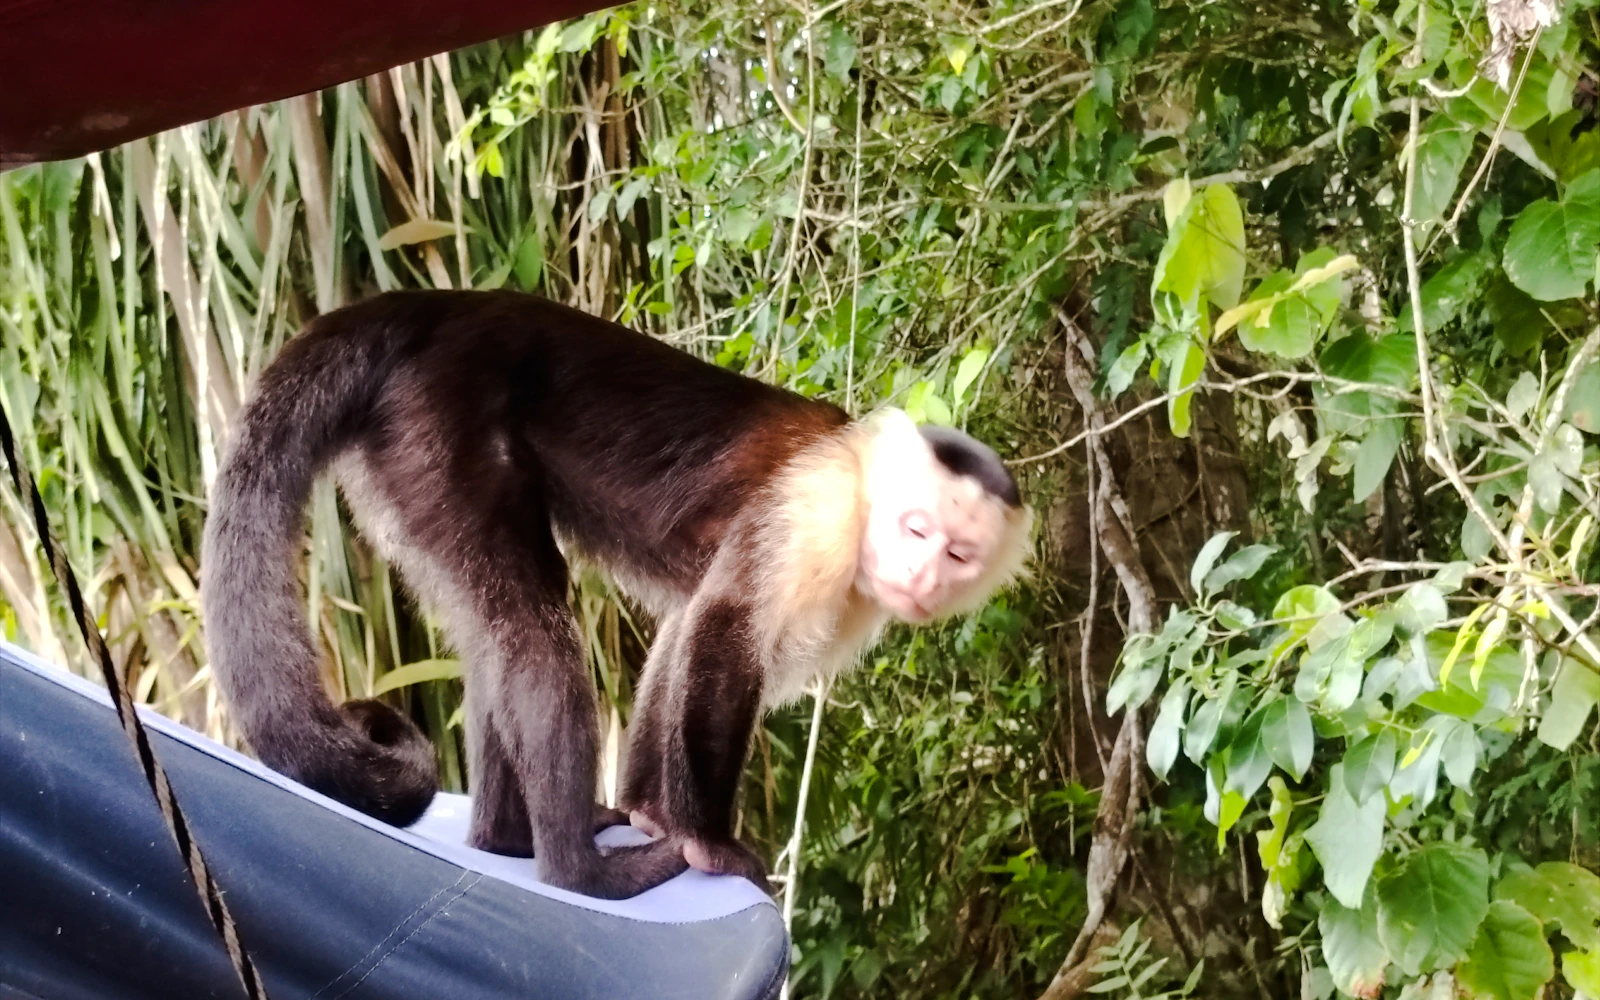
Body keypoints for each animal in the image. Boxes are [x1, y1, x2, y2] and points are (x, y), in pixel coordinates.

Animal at [200, 289, 1032, 900]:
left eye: (956, 554)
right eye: (916, 529)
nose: (922, 577)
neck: (864, 492)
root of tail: (434, 307)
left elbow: (685, 630)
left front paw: (652, 811)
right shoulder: (818, 511)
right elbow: (723, 629)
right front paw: (707, 841)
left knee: (495, 633)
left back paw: (504, 837)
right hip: (437, 423)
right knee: (535, 629)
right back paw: (577, 871)